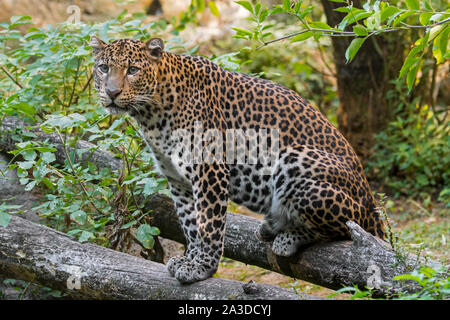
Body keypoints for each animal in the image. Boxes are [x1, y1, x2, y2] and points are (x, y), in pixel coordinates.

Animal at [89, 36, 384, 284]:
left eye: (133, 70)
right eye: (103, 68)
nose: (112, 93)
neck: (152, 114)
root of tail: (370, 200)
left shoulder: (209, 171)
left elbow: (208, 224)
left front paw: (203, 267)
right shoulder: (177, 180)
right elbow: (190, 224)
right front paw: (190, 259)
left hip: (297, 159)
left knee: (346, 228)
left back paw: (287, 236)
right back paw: (270, 227)